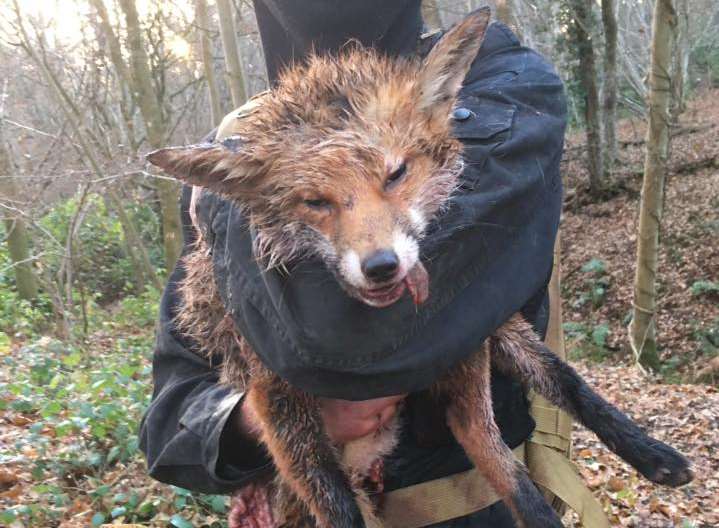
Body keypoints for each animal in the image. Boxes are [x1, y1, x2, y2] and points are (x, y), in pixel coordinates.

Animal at [146, 8, 692, 528]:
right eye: (315, 202)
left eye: (396, 173)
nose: (380, 266)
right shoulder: (273, 394)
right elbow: (336, 506)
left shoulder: (477, 327)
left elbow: (563, 387)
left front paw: (650, 452)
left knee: (497, 431)